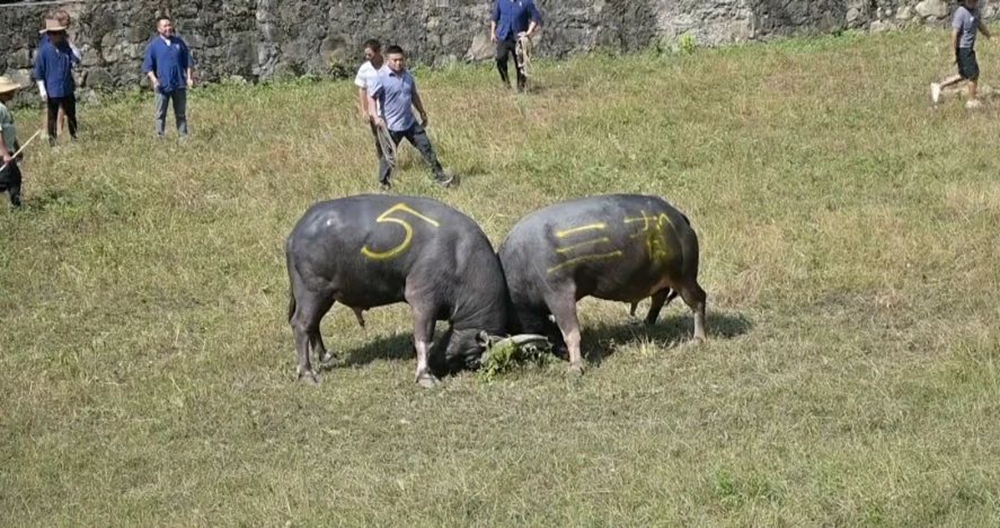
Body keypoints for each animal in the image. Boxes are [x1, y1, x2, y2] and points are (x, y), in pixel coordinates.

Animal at [288, 196, 508, 386]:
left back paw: (325, 356)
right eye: (472, 359)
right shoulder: (423, 298)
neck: (460, 258)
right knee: (301, 324)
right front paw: (426, 377)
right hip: (313, 292)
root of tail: (293, 234)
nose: (439, 366)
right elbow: (423, 339)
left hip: (322, 296)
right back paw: (308, 373)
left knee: (313, 323)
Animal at [498, 192, 704, 374]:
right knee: (659, 295)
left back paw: (698, 339)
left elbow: (571, 332)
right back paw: (645, 323)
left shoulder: (558, 291)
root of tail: (680, 218)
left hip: (684, 277)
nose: (562, 353)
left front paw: (575, 368)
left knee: (699, 299)